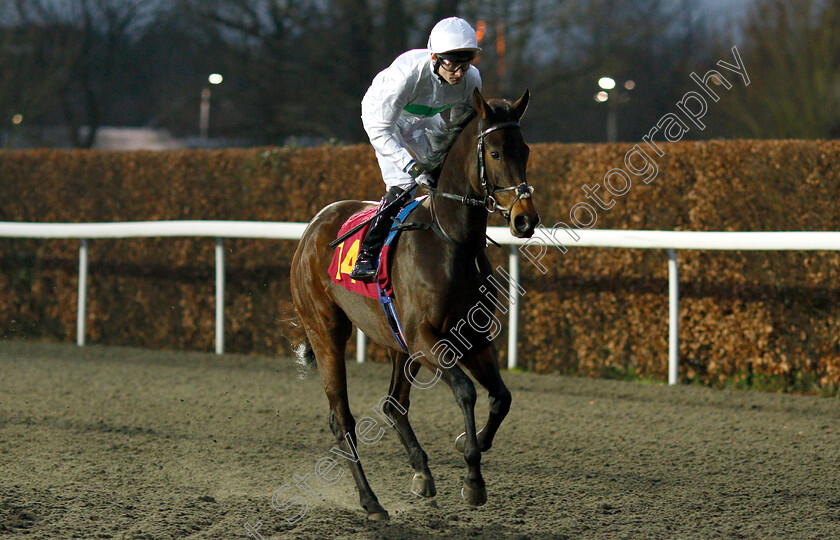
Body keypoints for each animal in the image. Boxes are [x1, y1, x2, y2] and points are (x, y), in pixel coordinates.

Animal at [288, 87, 540, 520]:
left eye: (523, 149)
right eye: (494, 152)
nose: (526, 220)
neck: (450, 243)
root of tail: (313, 228)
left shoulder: (474, 339)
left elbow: (502, 397)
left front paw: (471, 443)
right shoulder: (425, 338)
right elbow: (466, 392)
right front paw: (473, 477)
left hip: (396, 343)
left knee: (394, 404)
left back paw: (421, 472)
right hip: (327, 332)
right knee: (343, 420)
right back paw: (371, 501)